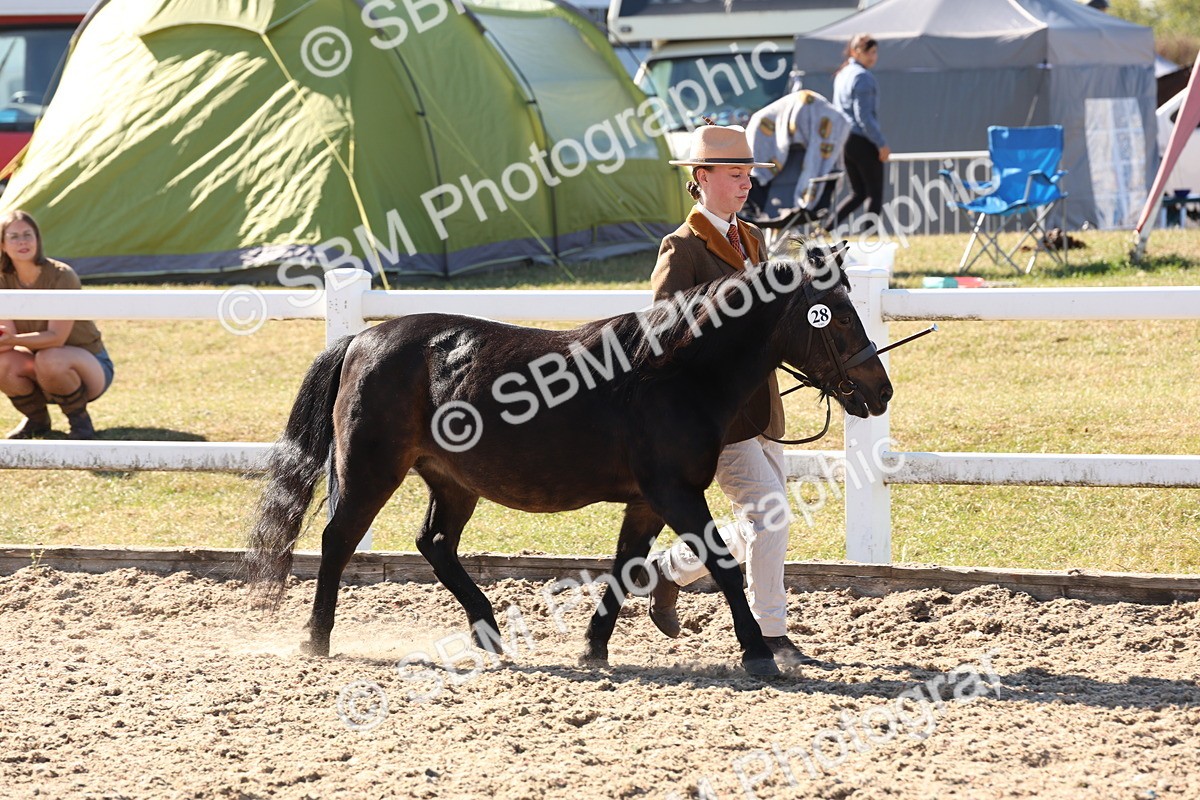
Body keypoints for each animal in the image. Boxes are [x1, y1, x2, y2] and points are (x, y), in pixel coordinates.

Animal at [247, 244, 892, 675]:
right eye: (835, 315)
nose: (881, 391)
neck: (675, 373)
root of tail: (362, 339)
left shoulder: (648, 501)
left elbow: (627, 568)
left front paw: (593, 646)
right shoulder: (676, 492)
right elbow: (726, 565)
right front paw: (757, 652)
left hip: (453, 482)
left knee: (435, 545)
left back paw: (489, 633)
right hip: (370, 470)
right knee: (338, 540)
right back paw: (317, 638)